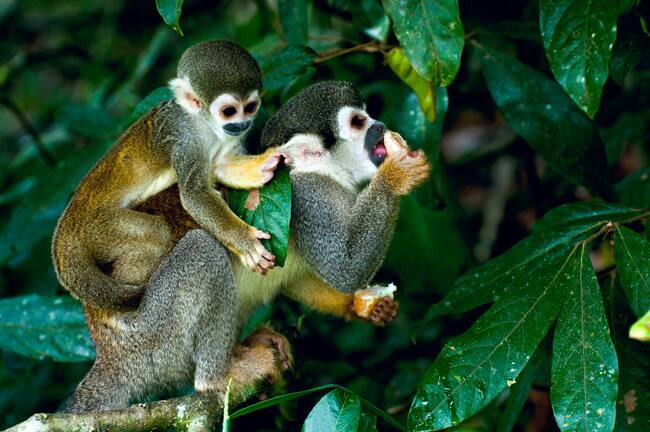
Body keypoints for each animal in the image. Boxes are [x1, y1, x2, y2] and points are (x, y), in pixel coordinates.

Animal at [52, 40, 281, 313]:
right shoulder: (184, 139)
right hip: (98, 228)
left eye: (250, 108)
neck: (203, 124)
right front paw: (244, 240)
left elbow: (220, 165)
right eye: (229, 111)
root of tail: (69, 222)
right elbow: (194, 195)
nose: (242, 124)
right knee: (158, 232)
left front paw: (262, 166)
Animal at [63, 80, 429, 413]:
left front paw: (360, 304)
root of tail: (110, 356)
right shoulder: (310, 198)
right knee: (202, 250)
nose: (380, 126)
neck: (326, 171)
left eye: (367, 115)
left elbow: (300, 278)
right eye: (358, 122)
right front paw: (396, 174)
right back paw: (216, 377)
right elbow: (344, 268)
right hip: (152, 339)